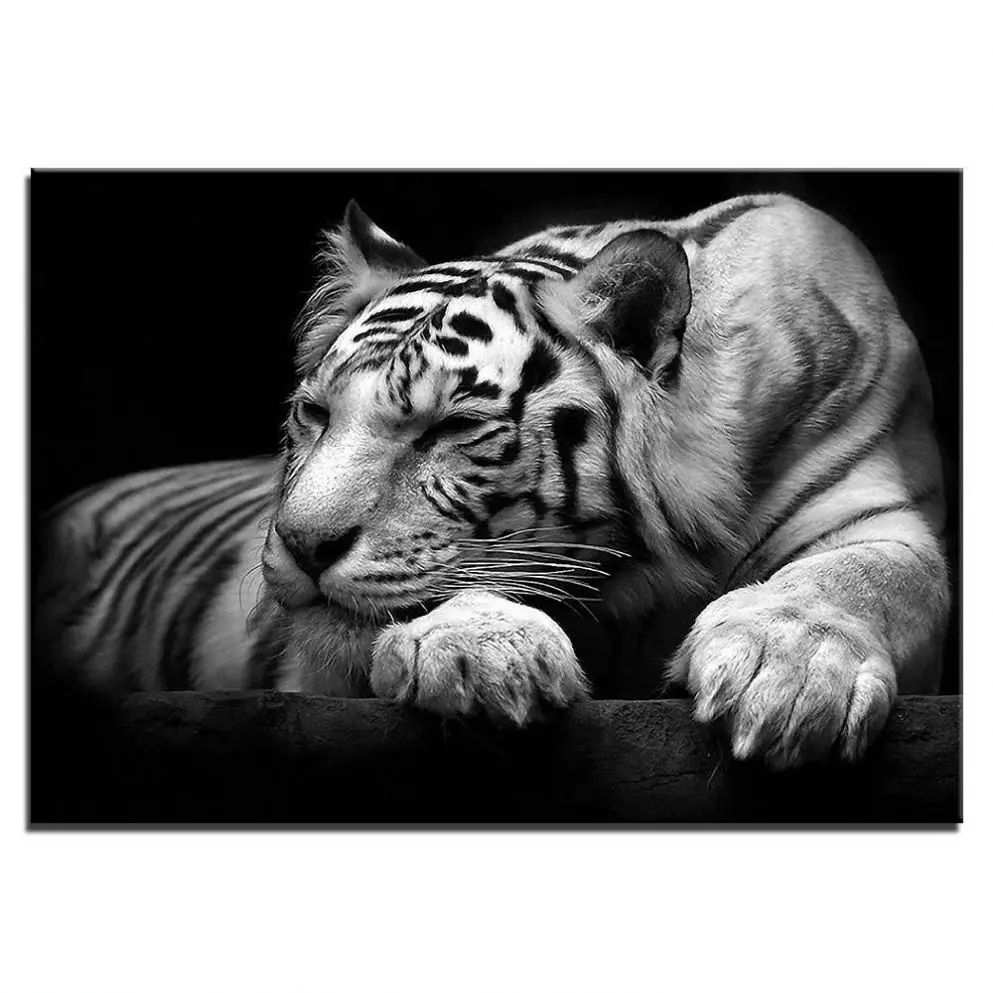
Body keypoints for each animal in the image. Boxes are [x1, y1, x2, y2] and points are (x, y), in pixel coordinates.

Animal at [34, 192, 950, 769]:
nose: (299, 544)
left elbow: (861, 577)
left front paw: (787, 673)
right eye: (315, 414)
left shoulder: (876, 509)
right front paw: (481, 652)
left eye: (449, 428)